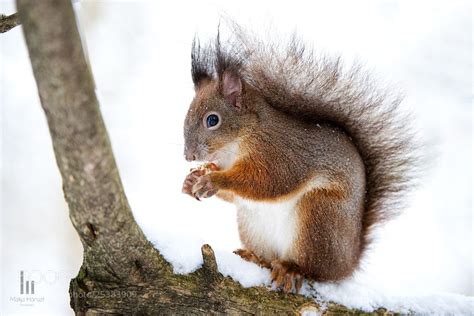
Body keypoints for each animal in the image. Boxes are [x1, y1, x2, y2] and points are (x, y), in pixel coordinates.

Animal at [180, 28, 416, 292]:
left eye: (212, 120)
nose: (188, 156)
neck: (238, 143)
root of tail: (349, 263)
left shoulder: (280, 154)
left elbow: (266, 182)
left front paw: (213, 180)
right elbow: (234, 195)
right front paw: (194, 178)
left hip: (319, 216)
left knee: (315, 269)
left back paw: (291, 269)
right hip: (253, 224)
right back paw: (256, 257)